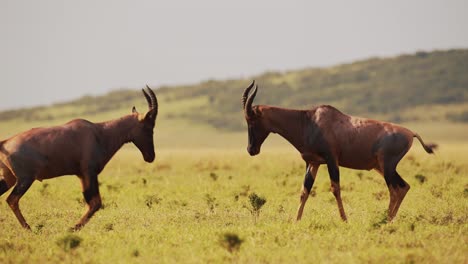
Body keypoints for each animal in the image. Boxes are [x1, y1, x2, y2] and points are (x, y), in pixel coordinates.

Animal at [0, 85, 159, 230]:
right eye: (148, 126)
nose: (150, 157)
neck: (99, 133)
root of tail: (5, 143)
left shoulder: (81, 175)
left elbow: (92, 203)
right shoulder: (89, 172)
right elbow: (95, 203)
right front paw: (73, 228)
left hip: (9, 178)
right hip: (25, 179)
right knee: (12, 200)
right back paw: (28, 228)